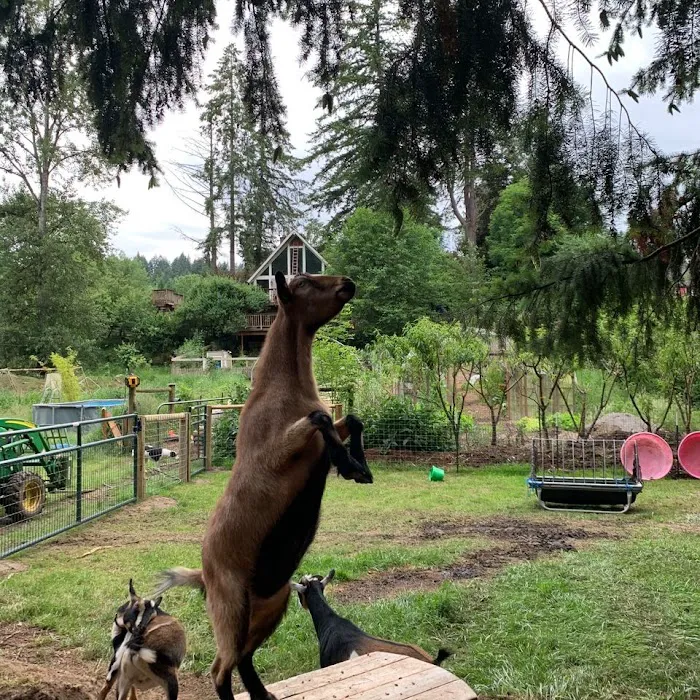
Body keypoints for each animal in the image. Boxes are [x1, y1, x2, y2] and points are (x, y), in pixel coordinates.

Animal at [155, 272, 373, 700]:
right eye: (304, 282)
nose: (348, 282)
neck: (282, 391)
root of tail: (203, 575)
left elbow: (349, 418)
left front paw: (360, 467)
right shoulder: (275, 454)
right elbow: (321, 419)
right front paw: (348, 464)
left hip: (271, 604)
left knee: (242, 658)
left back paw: (263, 695)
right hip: (231, 609)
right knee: (220, 668)